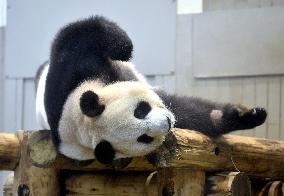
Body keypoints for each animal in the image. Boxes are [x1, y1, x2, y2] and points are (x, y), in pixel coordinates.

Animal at [35, 16, 266, 165]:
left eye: (141, 109)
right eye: (143, 137)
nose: (167, 122)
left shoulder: (70, 79)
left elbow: (76, 35)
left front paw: (248, 115)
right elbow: (189, 116)